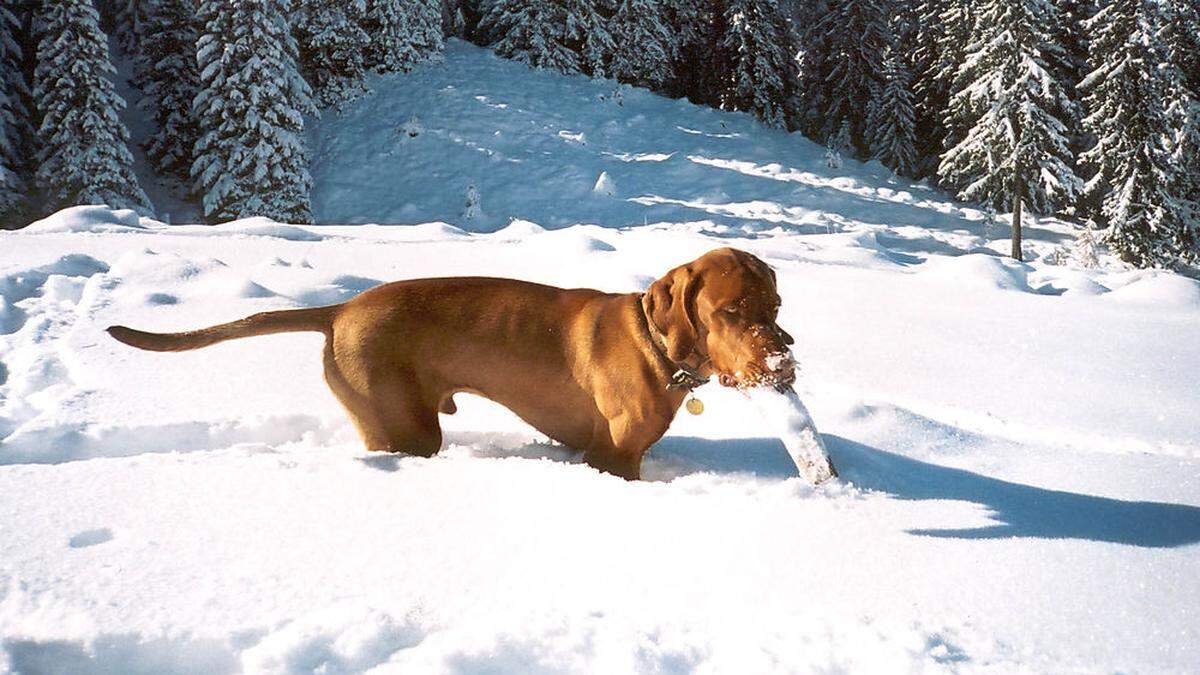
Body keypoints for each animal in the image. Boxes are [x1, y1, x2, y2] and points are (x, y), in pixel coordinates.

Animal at [105, 247, 796, 478]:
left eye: (776, 304)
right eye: (731, 311)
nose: (785, 362)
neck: (656, 343)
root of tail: (341, 308)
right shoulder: (614, 457)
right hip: (405, 426)